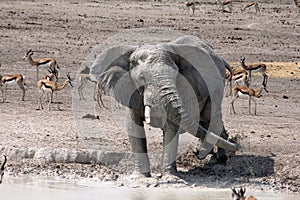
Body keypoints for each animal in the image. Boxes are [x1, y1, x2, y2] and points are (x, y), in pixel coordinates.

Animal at [90, 35, 238, 177]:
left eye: (176, 75)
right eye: (142, 79)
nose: (237, 141)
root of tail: (220, 58)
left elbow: (171, 127)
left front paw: (169, 177)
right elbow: (134, 127)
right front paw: (140, 177)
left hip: (216, 88)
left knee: (210, 117)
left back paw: (217, 159)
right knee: (206, 120)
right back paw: (214, 156)